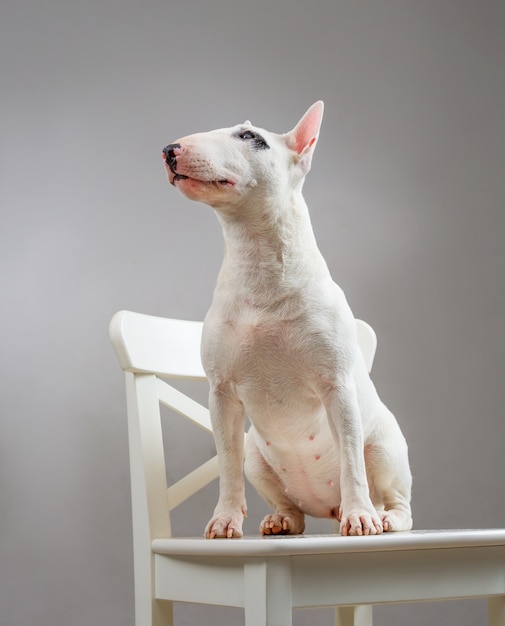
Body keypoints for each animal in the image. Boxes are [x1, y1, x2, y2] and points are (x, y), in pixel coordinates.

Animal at [163, 101, 412, 536]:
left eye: (250, 137)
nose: (169, 150)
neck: (257, 260)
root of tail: (328, 507)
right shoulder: (221, 393)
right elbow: (225, 464)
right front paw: (224, 520)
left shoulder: (337, 385)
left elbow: (350, 459)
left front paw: (361, 517)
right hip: (257, 458)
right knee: (288, 505)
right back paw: (282, 520)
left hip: (385, 447)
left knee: (396, 499)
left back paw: (379, 516)